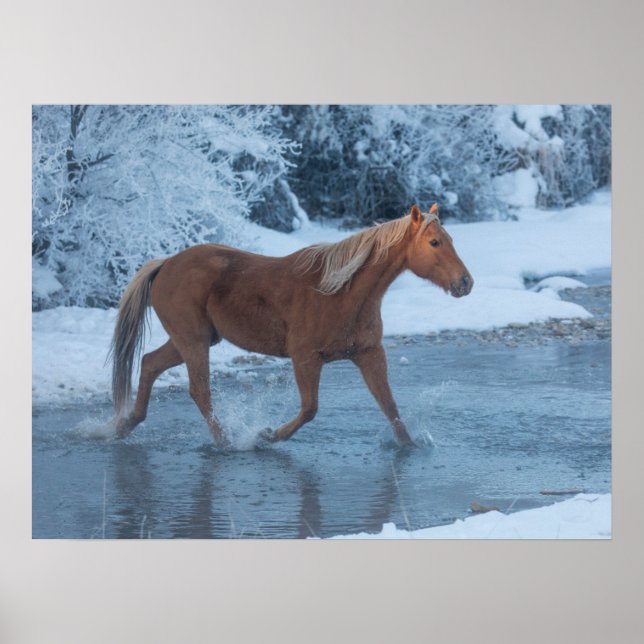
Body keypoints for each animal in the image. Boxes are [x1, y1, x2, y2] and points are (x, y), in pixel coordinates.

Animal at [109, 203, 473, 447]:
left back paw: (123, 426)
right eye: (434, 242)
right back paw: (226, 442)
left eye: (452, 239)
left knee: (149, 364)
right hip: (193, 340)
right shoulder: (306, 358)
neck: (342, 292)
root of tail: (165, 264)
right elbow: (310, 409)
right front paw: (269, 434)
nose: (465, 283)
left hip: (192, 340)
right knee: (199, 390)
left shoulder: (369, 354)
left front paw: (409, 446)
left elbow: (390, 407)